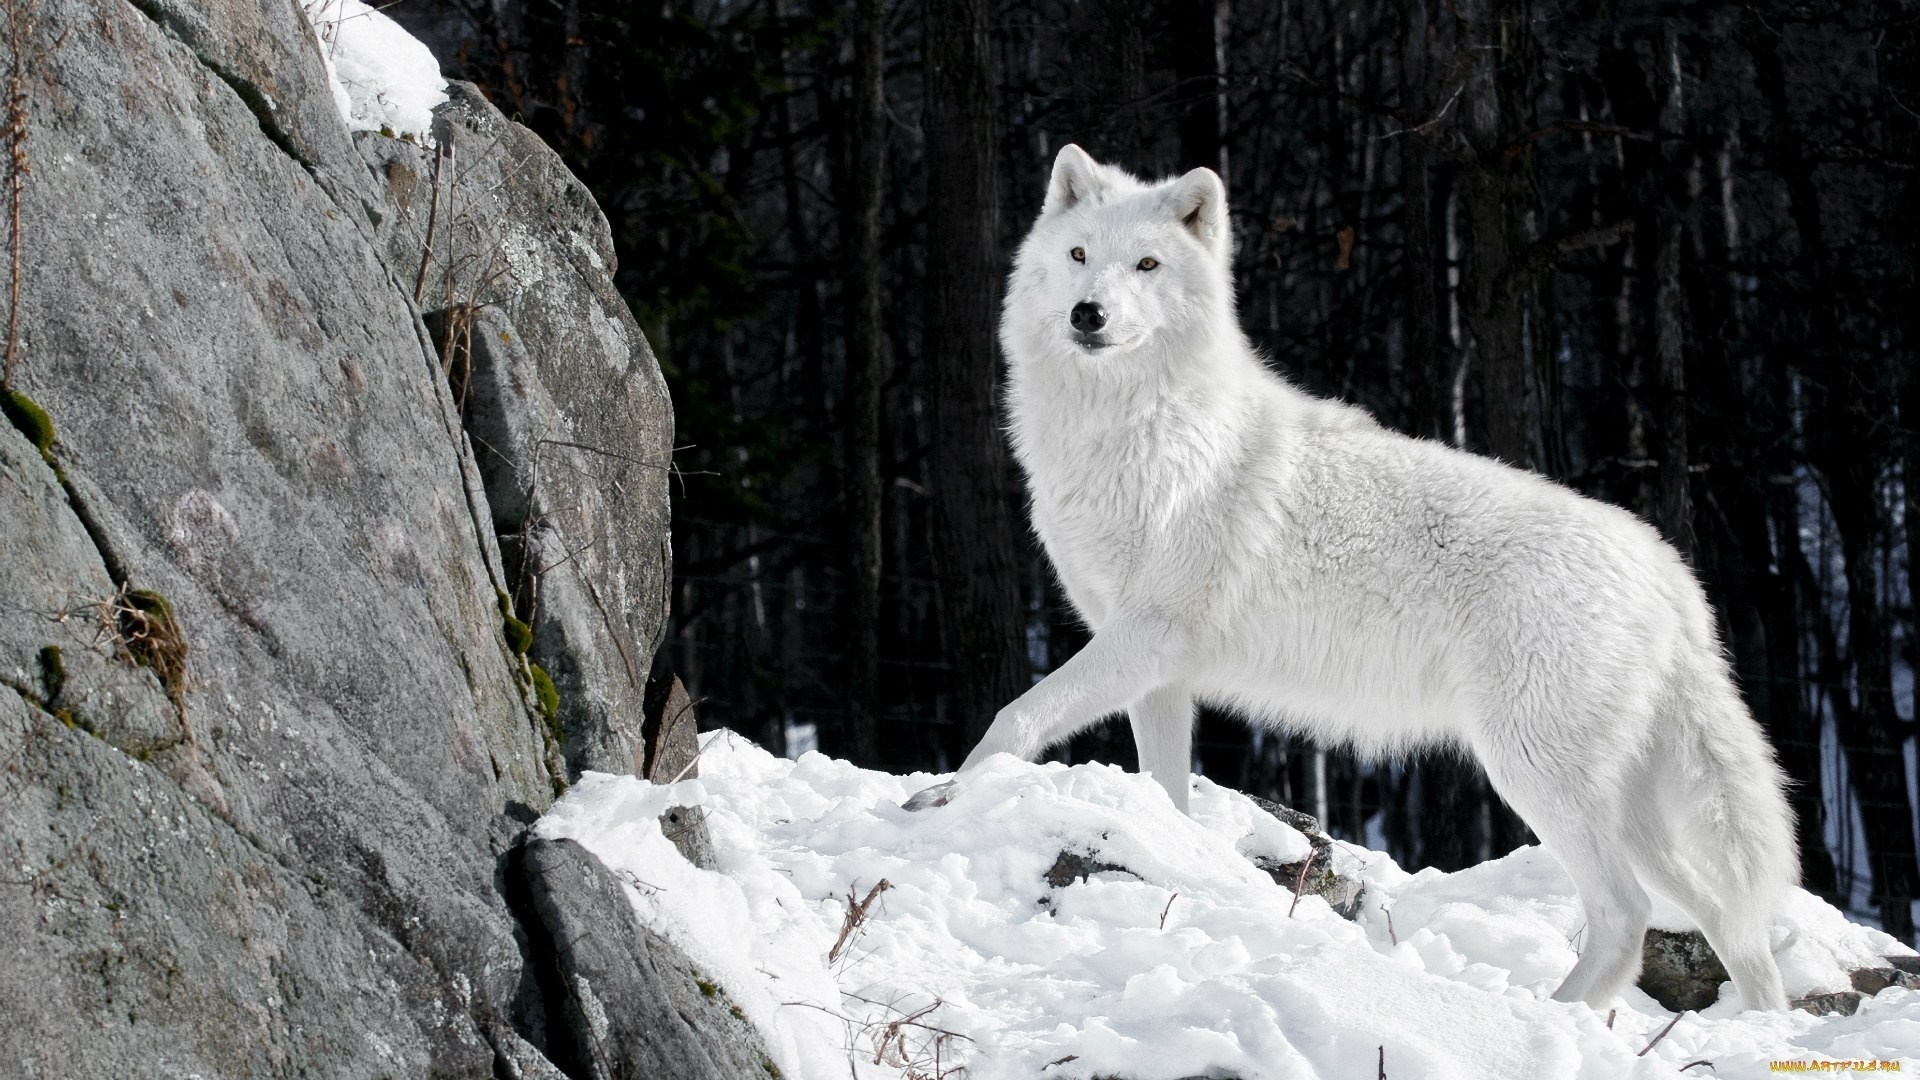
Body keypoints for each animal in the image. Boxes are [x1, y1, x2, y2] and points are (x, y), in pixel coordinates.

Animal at [905, 144, 1798, 1013]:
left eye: (1148, 265)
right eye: (1080, 256)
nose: (1087, 314)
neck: (1135, 431)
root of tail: (1667, 569)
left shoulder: (1144, 638)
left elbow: (1014, 718)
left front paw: (942, 800)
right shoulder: (1158, 673)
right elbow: (1165, 792)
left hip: (1534, 774)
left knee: (1627, 915)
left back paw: (1546, 1018)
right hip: (1625, 808)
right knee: (1727, 919)